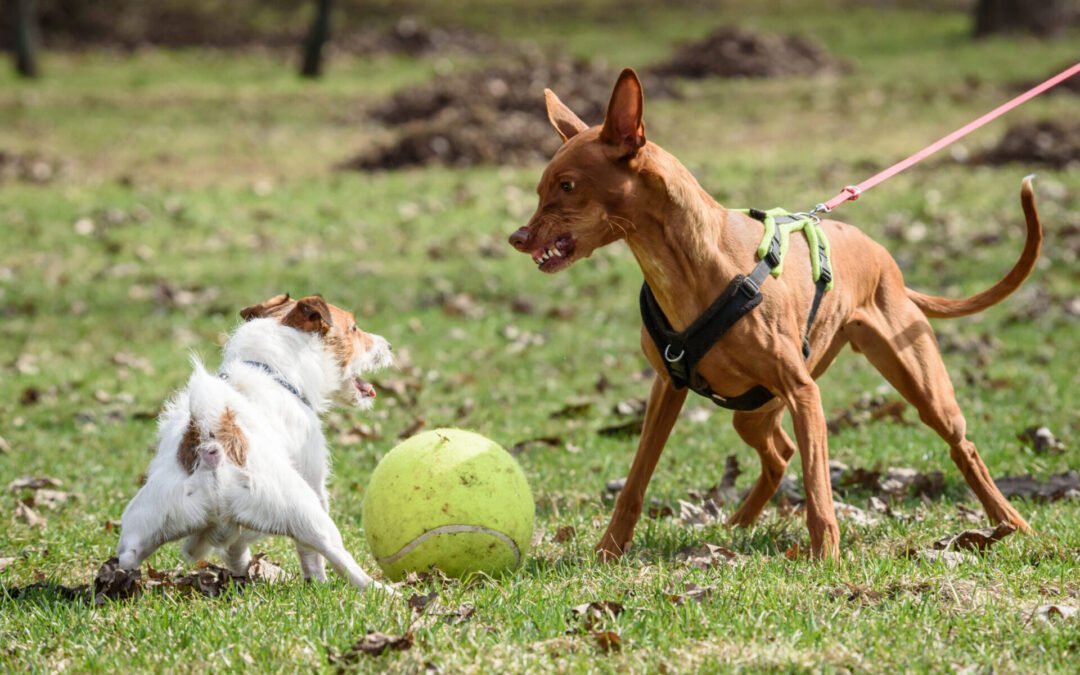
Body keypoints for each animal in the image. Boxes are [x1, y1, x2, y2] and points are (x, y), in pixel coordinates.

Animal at [116, 291, 395, 591]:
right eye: (354, 328)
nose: (389, 345)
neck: (273, 371)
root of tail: (213, 447)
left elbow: (236, 549)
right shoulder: (314, 478)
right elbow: (310, 556)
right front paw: (317, 583)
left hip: (144, 524)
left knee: (127, 557)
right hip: (306, 513)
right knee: (339, 558)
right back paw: (382, 590)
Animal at [509, 67, 1041, 557]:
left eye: (567, 185)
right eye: (539, 189)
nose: (517, 237)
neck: (690, 264)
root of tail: (886, 261)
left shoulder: (804, 393)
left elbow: (818, 490)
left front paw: (827, 560)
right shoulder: (667, 387)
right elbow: (636, 482)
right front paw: (608, 550)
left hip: (920, 386)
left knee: (963, 447)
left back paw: (1011, 523)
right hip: (753, 410)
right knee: (780, 453)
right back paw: (738, 524)